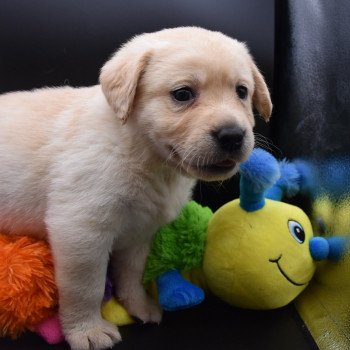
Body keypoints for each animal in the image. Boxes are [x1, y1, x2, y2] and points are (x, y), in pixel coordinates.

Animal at [0, 28, 270, 350]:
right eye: (183, 94)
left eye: (241, 92)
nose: (232, 135)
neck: (144, 156)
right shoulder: (80, 231)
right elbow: (85, 287)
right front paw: (86, 329)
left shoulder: (139, 232)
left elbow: (131, 274)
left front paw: (138, 306)